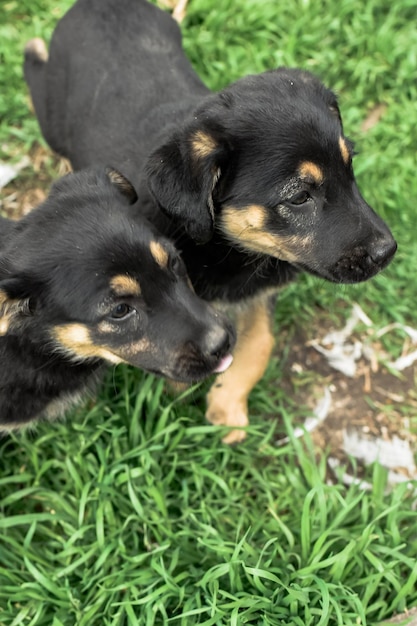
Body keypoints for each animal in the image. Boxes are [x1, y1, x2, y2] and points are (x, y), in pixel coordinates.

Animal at [24, 0, 394, 444]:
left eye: (349, 168)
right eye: (300, 197)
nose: (388, 251)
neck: (226, 246)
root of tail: (98, 4)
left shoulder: (259, 291)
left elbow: (261, 342)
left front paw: (228, 406)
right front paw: (188, 391)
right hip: (51, 111)